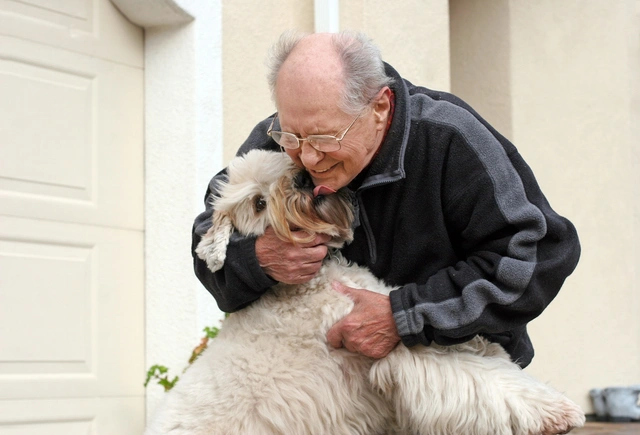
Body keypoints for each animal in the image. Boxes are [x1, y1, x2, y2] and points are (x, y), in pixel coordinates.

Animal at [145, 151, 584, 435]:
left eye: (282, 160)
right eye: (257, 203)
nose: (302, 179)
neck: (305, 285)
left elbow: (471, 353)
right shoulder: (392, 345)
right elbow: (480, 378)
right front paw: (557, 411)